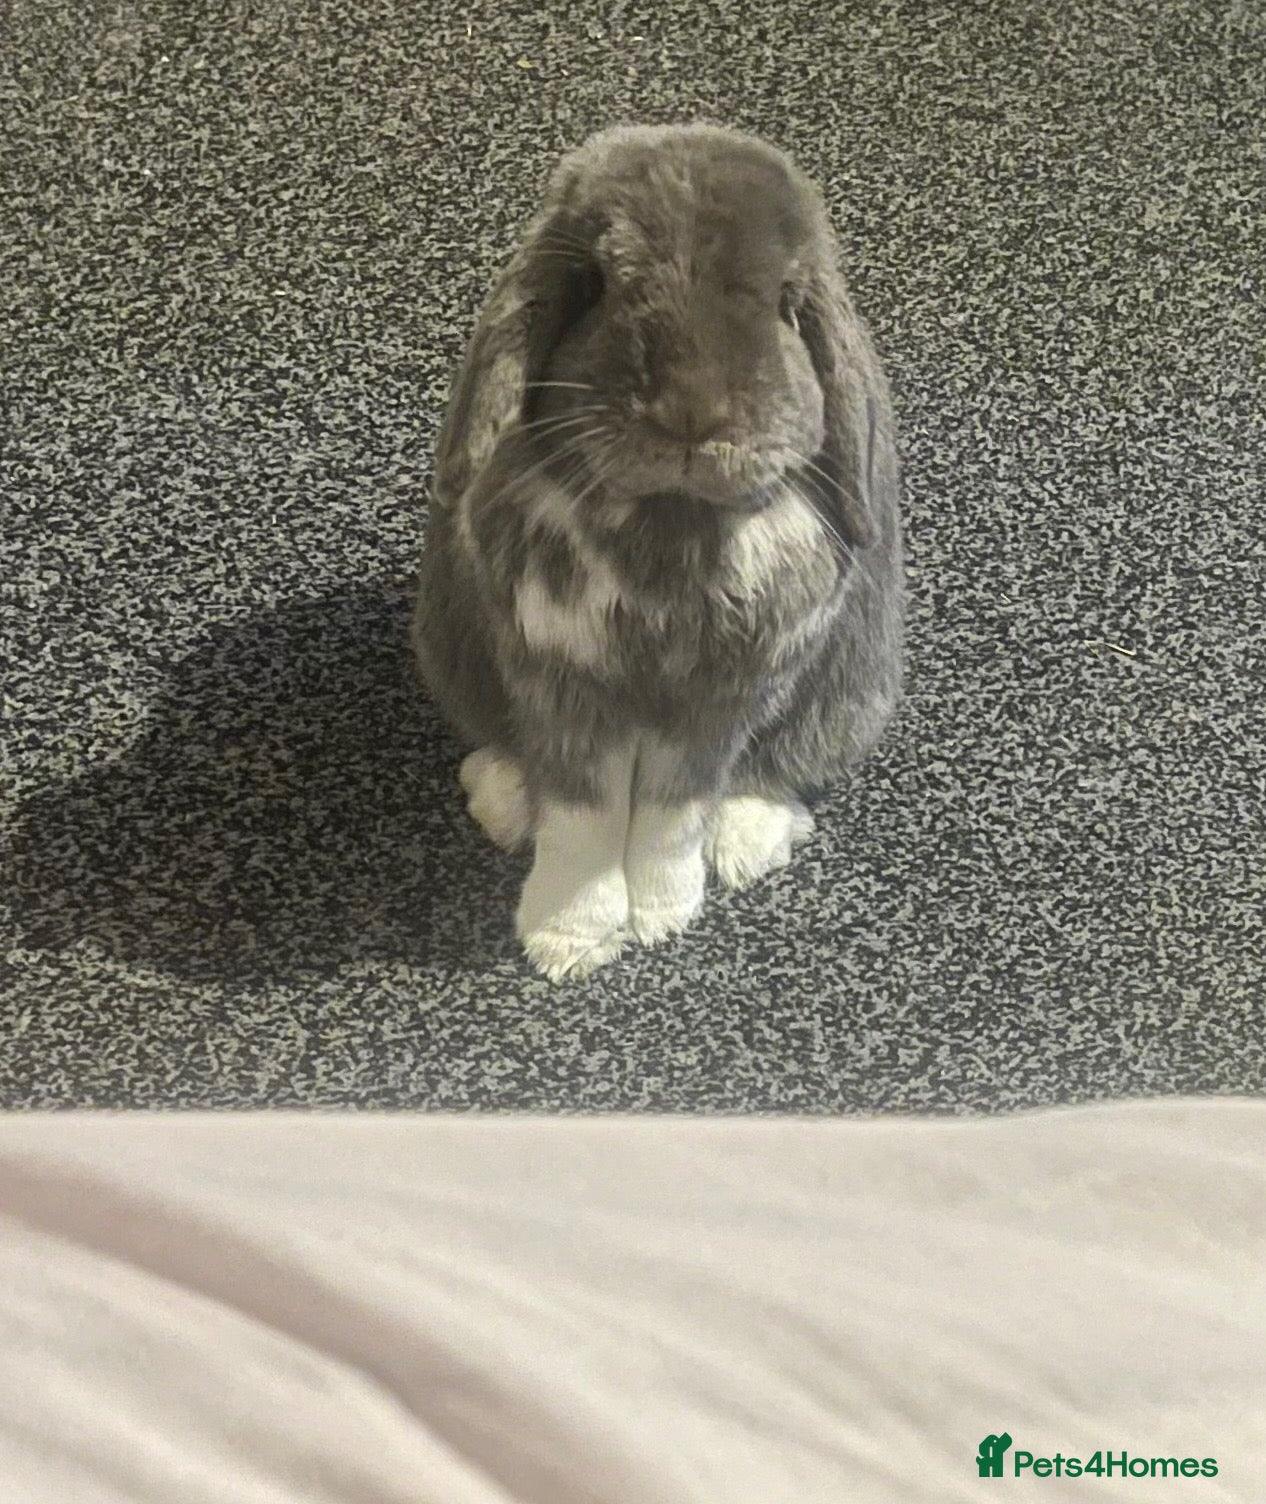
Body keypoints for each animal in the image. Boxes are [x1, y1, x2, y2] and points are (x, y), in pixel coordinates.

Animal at [412, 123, 905, 981]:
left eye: (788, 302)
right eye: (597, 283)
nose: (692, 415)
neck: (670, 522)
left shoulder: (721, 700)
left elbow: (674, 814)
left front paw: (663, 917)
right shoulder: (563, 685)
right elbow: (582, 819)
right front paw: (568, 943)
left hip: (848, 693)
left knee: (774, 769)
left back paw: (745, 845)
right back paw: (501, 798)